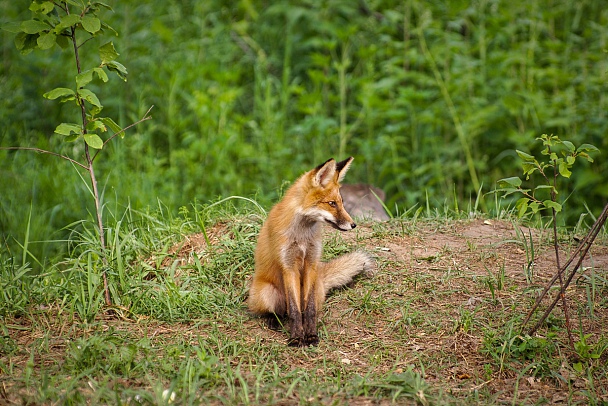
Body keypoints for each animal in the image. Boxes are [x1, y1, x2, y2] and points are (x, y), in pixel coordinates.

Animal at [248, 157, 376, 348]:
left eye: (341, 202)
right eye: (332, 203)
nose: (353, 225)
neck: (302, 237)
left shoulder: (311, 263)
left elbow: (308, 310)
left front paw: (311, 335)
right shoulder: (289, 266)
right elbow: (294, 311)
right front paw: (296, 338)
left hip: (315, 287)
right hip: (266, 292)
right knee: (279, 311)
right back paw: (274, 319)